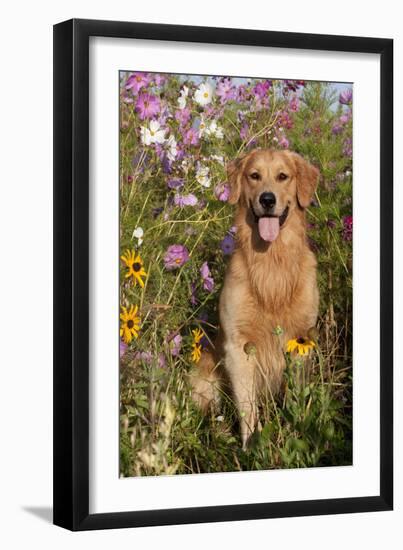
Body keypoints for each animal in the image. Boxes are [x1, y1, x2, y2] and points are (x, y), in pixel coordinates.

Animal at [191, 150, 320, 448]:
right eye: (254, 175)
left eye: (283, 176)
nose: (267, 199)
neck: (271, 263)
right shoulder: (238, 347)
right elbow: (247, 406)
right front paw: (252, 445)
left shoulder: (301, 341)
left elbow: (296, 396)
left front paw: (296, 430)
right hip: (205, 377)